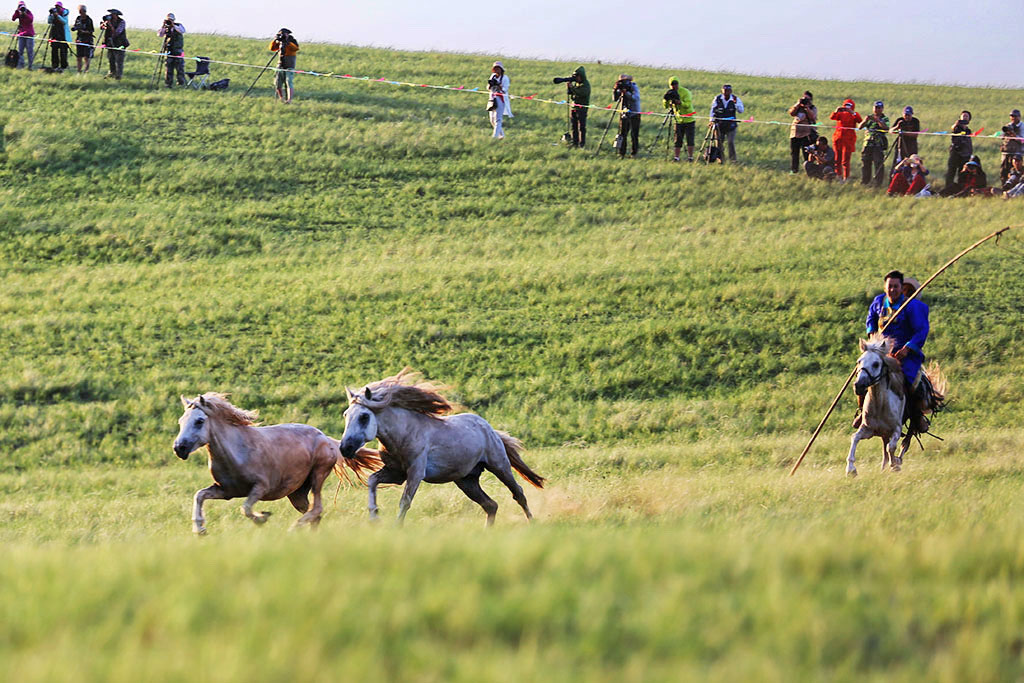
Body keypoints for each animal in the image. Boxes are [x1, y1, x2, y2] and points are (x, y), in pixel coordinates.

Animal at [174, 395, 382, 532]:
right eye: (181, 421)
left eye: (199, 421)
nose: (179, 448)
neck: (236, 452)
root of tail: (328, 439)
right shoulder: (226, 491)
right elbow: (199, 495)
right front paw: (200, 530)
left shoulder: (260, 487)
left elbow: (246, 508)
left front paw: (263, 517)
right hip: (297, 494)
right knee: (314, 513)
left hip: (318, 475)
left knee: (317, 508)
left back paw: (293, 528)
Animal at [337, 370, 548, 528]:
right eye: (346, 414)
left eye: (364, 416)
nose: (345, 448)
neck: (404, 432)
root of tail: (491, 430)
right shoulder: (396, 473)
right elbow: (372, 480)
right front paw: (374, 516)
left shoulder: (415, 472)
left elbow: (405, 501)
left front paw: (396, 527)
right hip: (466, 481)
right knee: (491, 505)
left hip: (499, 466)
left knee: (518, 493)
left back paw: (532, 523)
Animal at [843, 335, 909, 475]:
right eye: (859, 361)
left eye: (876, 364)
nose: (858, 386)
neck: (880, 406)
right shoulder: (868, 429)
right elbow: (854, 438)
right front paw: (851, 469)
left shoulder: (896, 429)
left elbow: (892, 446)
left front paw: (894, 464)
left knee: (904, 443)